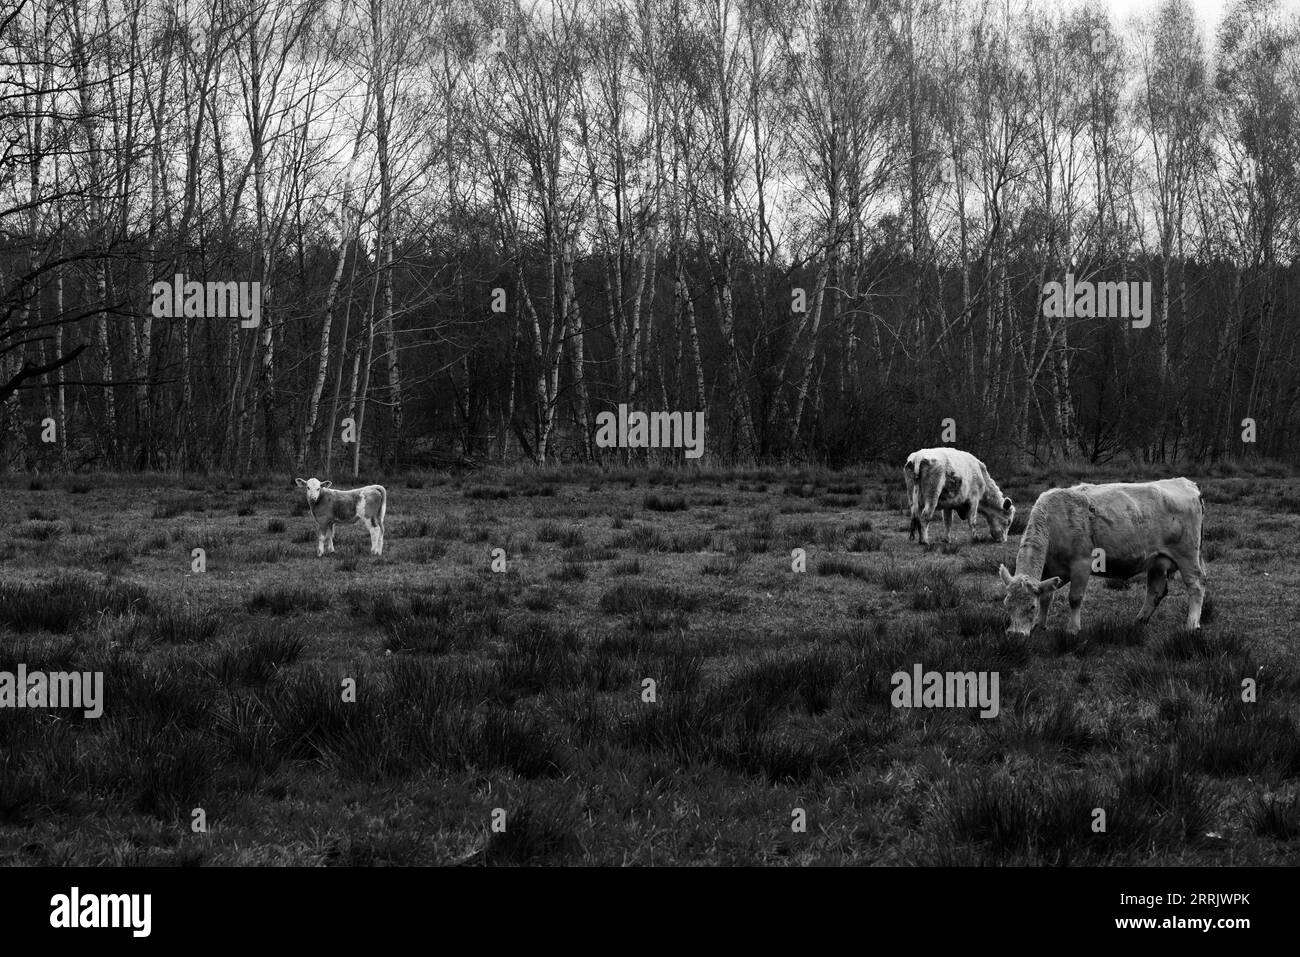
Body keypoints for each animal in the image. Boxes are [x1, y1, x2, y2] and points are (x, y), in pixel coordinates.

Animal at [993, 475, 1206, 639]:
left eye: (1030, 607)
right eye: (1006, 605)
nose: (1015, 635)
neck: (1054, 521)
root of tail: (1187, 483)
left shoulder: (1081, 564)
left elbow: (1075, 598)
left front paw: (1072, 629)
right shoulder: (1052, 569)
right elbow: (1047, 595)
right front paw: (1039, 625)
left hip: (1187, 554)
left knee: (1196, 584)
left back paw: (1191, 624)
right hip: (1157, 560)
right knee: (1156, 589)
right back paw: (1139, 620)